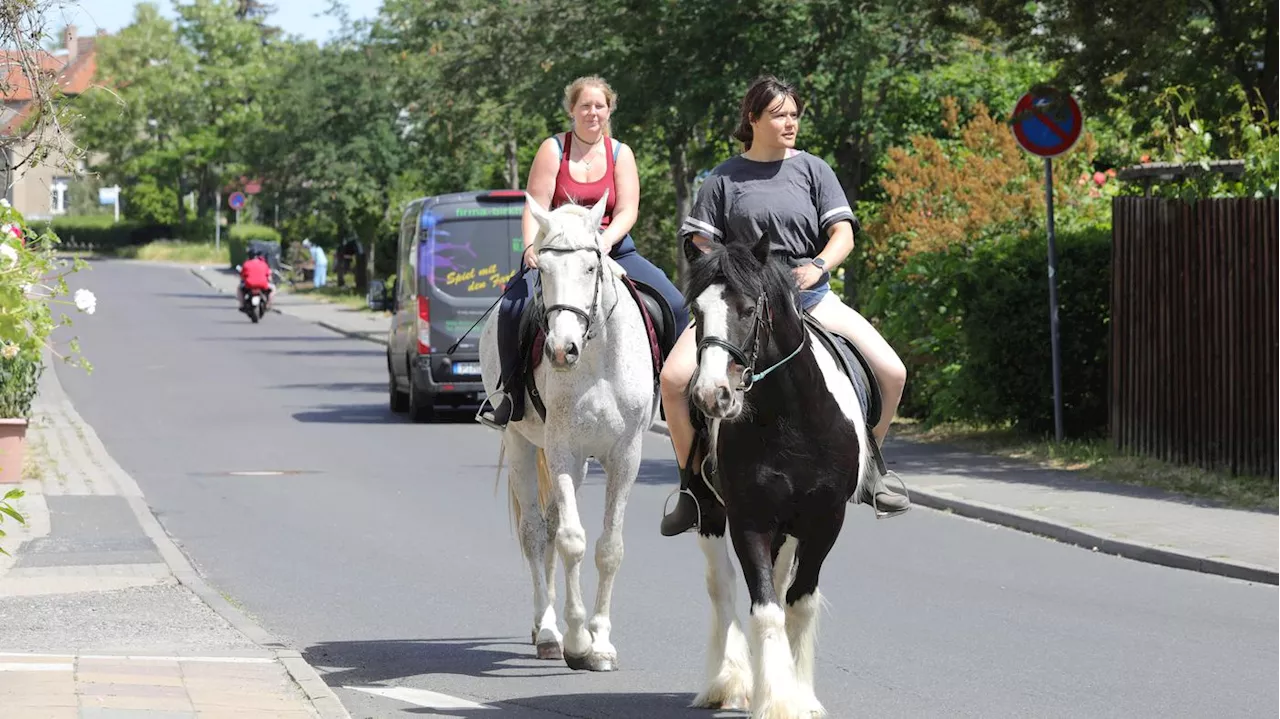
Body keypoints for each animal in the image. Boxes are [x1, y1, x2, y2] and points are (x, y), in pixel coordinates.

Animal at [481, 191, 660, 670]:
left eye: (591, 268)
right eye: (542, 270)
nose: (562, 350)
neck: (596, 361)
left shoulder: (625, 455)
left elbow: (608, 547)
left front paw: (600, 644)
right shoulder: (562, 449)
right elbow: (572, 541)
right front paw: (578, 641)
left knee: (549, 525)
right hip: (522, 444)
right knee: (536, 531)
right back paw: (547, 631)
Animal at [686, 235, 875, 716]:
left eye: (749, 308)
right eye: (696, 310)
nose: (711, 395)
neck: (789, 418)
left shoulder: (825, 520)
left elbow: (799, 603)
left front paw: (800, 695)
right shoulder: (749, 519)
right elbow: (765, 607)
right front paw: (776, 699)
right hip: (711, 513)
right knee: (721, 584)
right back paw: (729, 679)